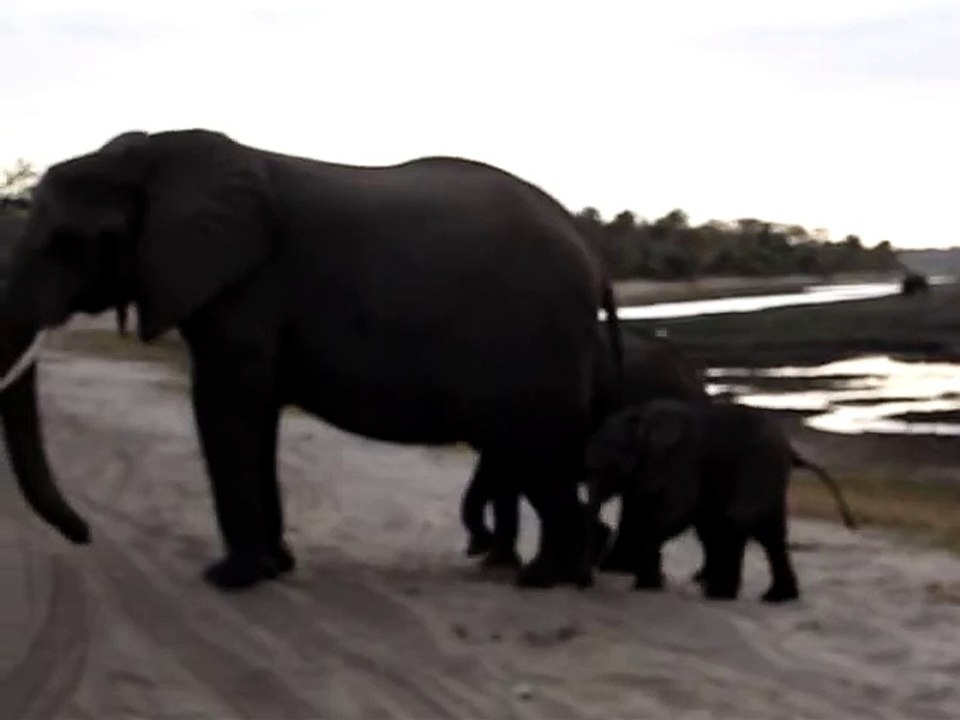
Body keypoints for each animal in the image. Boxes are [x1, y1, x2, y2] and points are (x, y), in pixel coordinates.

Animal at [0, 128, 624, 592]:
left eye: (68, 242)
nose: (83, 535)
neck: (155, 154)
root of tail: (593, 256)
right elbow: (256, 418)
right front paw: (275, 568)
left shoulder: (245, 288)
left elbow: (227, 407)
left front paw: (229, 579)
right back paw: (563, 572)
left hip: (537, 347)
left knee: (538, 457)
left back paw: (544, 580)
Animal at [582, 398, 858, 602]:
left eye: (609, 464)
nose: (601, 533)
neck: (641, 418)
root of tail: (791, 449)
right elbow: (643, 505)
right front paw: (642, 581)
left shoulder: (683, 458)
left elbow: (676, 509)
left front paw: (645, 584)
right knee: (768, 533)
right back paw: (775, 598)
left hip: (761, 462)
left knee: (741, 519)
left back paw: (721, 594)